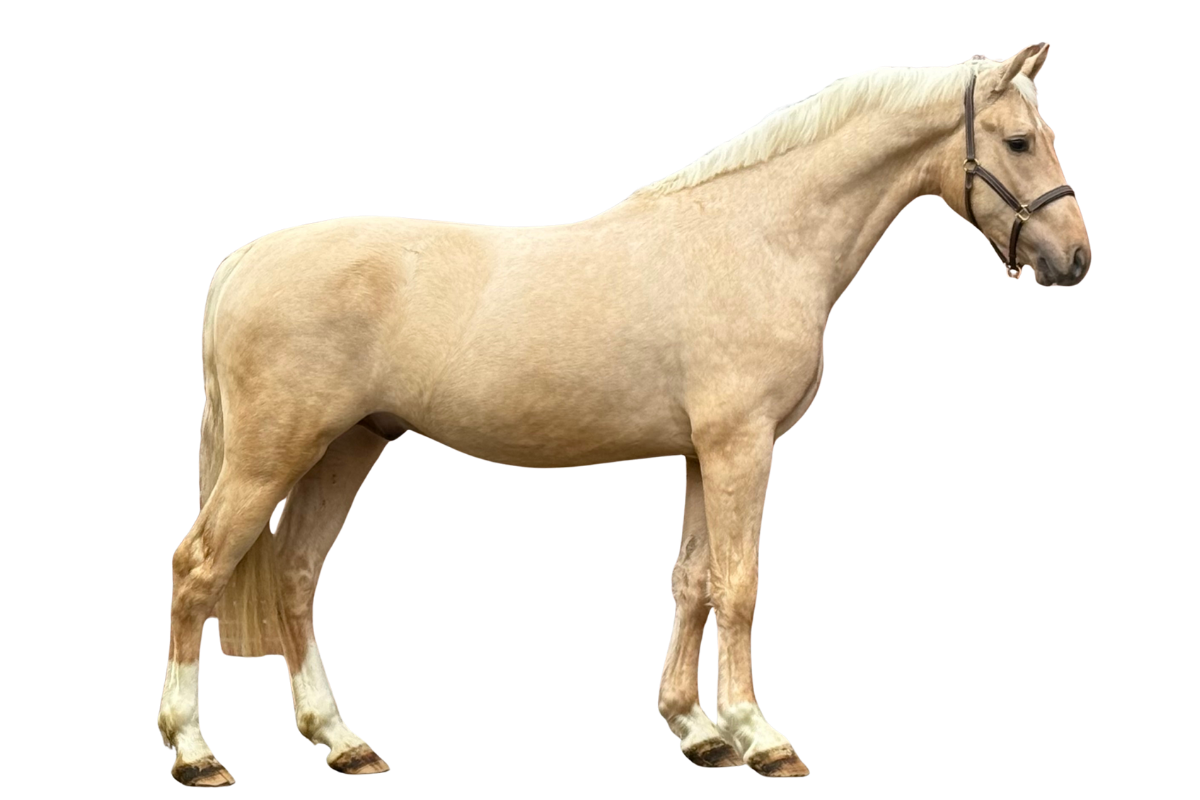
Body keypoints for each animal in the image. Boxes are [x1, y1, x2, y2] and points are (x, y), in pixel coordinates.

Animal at [158, 42, 1089, 785]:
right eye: (1017, 142)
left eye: (1046, 138)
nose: (1075, 259)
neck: (758, 237)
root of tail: (240, 263)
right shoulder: (742, 446)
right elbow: (740, 584)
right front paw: (760, 736)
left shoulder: (701, 452)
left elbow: (691, 580)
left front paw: (697, 730)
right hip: (271, 455)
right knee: (199, 569)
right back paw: (196, 751)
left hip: (347, 447)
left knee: (295, 572)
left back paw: (342, 741)